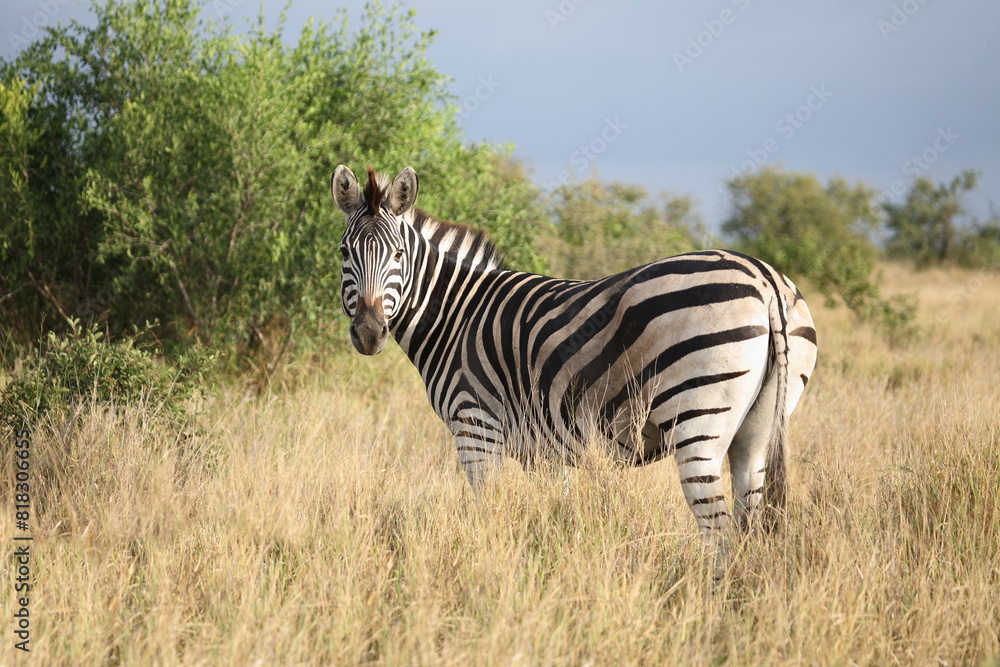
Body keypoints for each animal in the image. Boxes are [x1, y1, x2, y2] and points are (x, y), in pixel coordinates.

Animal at [332, 165, 818, 575]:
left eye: (399, 255)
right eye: (344, 251)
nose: (369, 332)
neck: (457, 315)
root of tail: (763, 278)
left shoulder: (476, 427)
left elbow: (486, 513)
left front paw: (485, 573)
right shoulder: (546, 449)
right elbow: (553, 516)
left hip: (698, 420)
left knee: (717, 531)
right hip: (757, 433)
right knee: (748, 522)